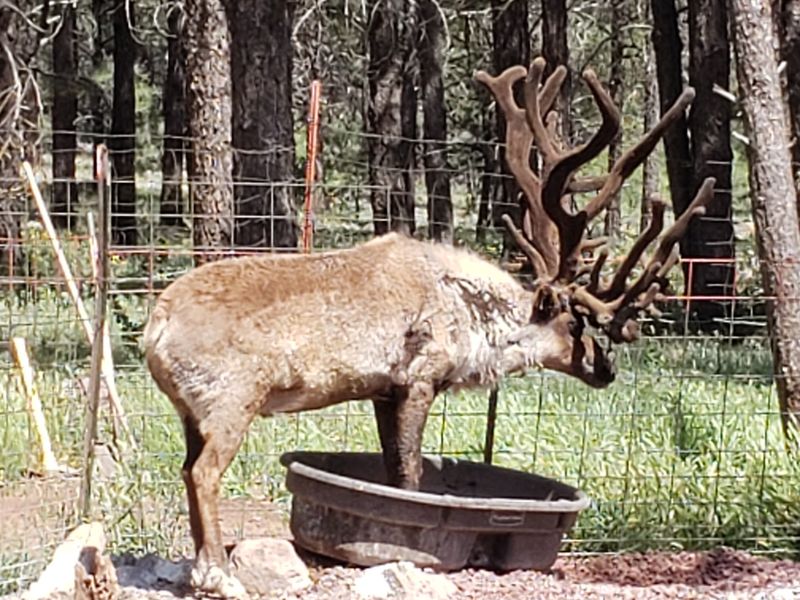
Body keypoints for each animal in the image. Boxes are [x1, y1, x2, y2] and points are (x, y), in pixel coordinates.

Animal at [143, 56, 715, 598]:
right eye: (575, 322)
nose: (605, 367)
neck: (473, 320)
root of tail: (155, 326)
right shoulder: (418, 378)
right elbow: (411, 475)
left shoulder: (380, 390)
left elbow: (392, 467)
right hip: (233, 401)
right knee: (204, 473)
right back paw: (219, 576)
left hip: (189, 411)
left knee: (185, 470)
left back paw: (200, 568)